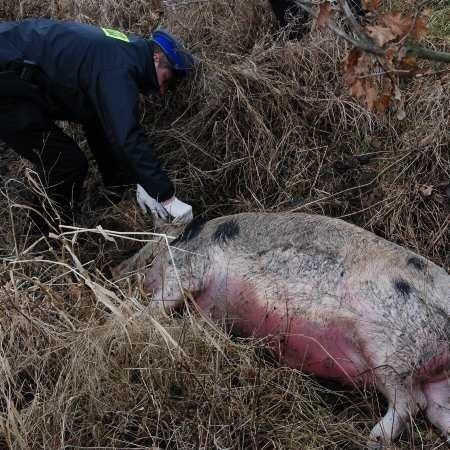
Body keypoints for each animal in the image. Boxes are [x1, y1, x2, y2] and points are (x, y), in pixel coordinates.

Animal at [119, 213, 450, 448]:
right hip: (433, 381)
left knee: (411, 403)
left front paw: (126, 320)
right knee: (433, 408)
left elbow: (158, 306)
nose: (116, 269)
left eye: (146, 250)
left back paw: (373, 439)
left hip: (388, 352)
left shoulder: (186, 273)